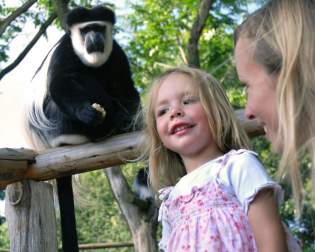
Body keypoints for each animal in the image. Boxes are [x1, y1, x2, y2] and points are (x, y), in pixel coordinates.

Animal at [25, 4, 141, 252]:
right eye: (86, 30)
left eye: (98, 28)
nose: (94, 37)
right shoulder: (65, 50)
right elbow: (60, 82)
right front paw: (87, 112)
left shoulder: (116, 53)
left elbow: (125, 85)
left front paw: (131, 121)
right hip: (55, 123)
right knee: (74, 82)